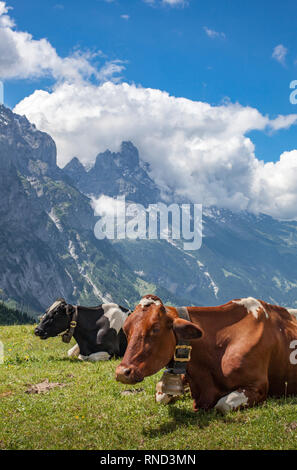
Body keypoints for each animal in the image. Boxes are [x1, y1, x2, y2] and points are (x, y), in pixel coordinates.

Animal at [116, 296, 297, 414]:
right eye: (125, 329)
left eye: (155, 328)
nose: (122, 372)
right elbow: (161, 393)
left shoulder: (258, 386)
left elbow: (222, 405)